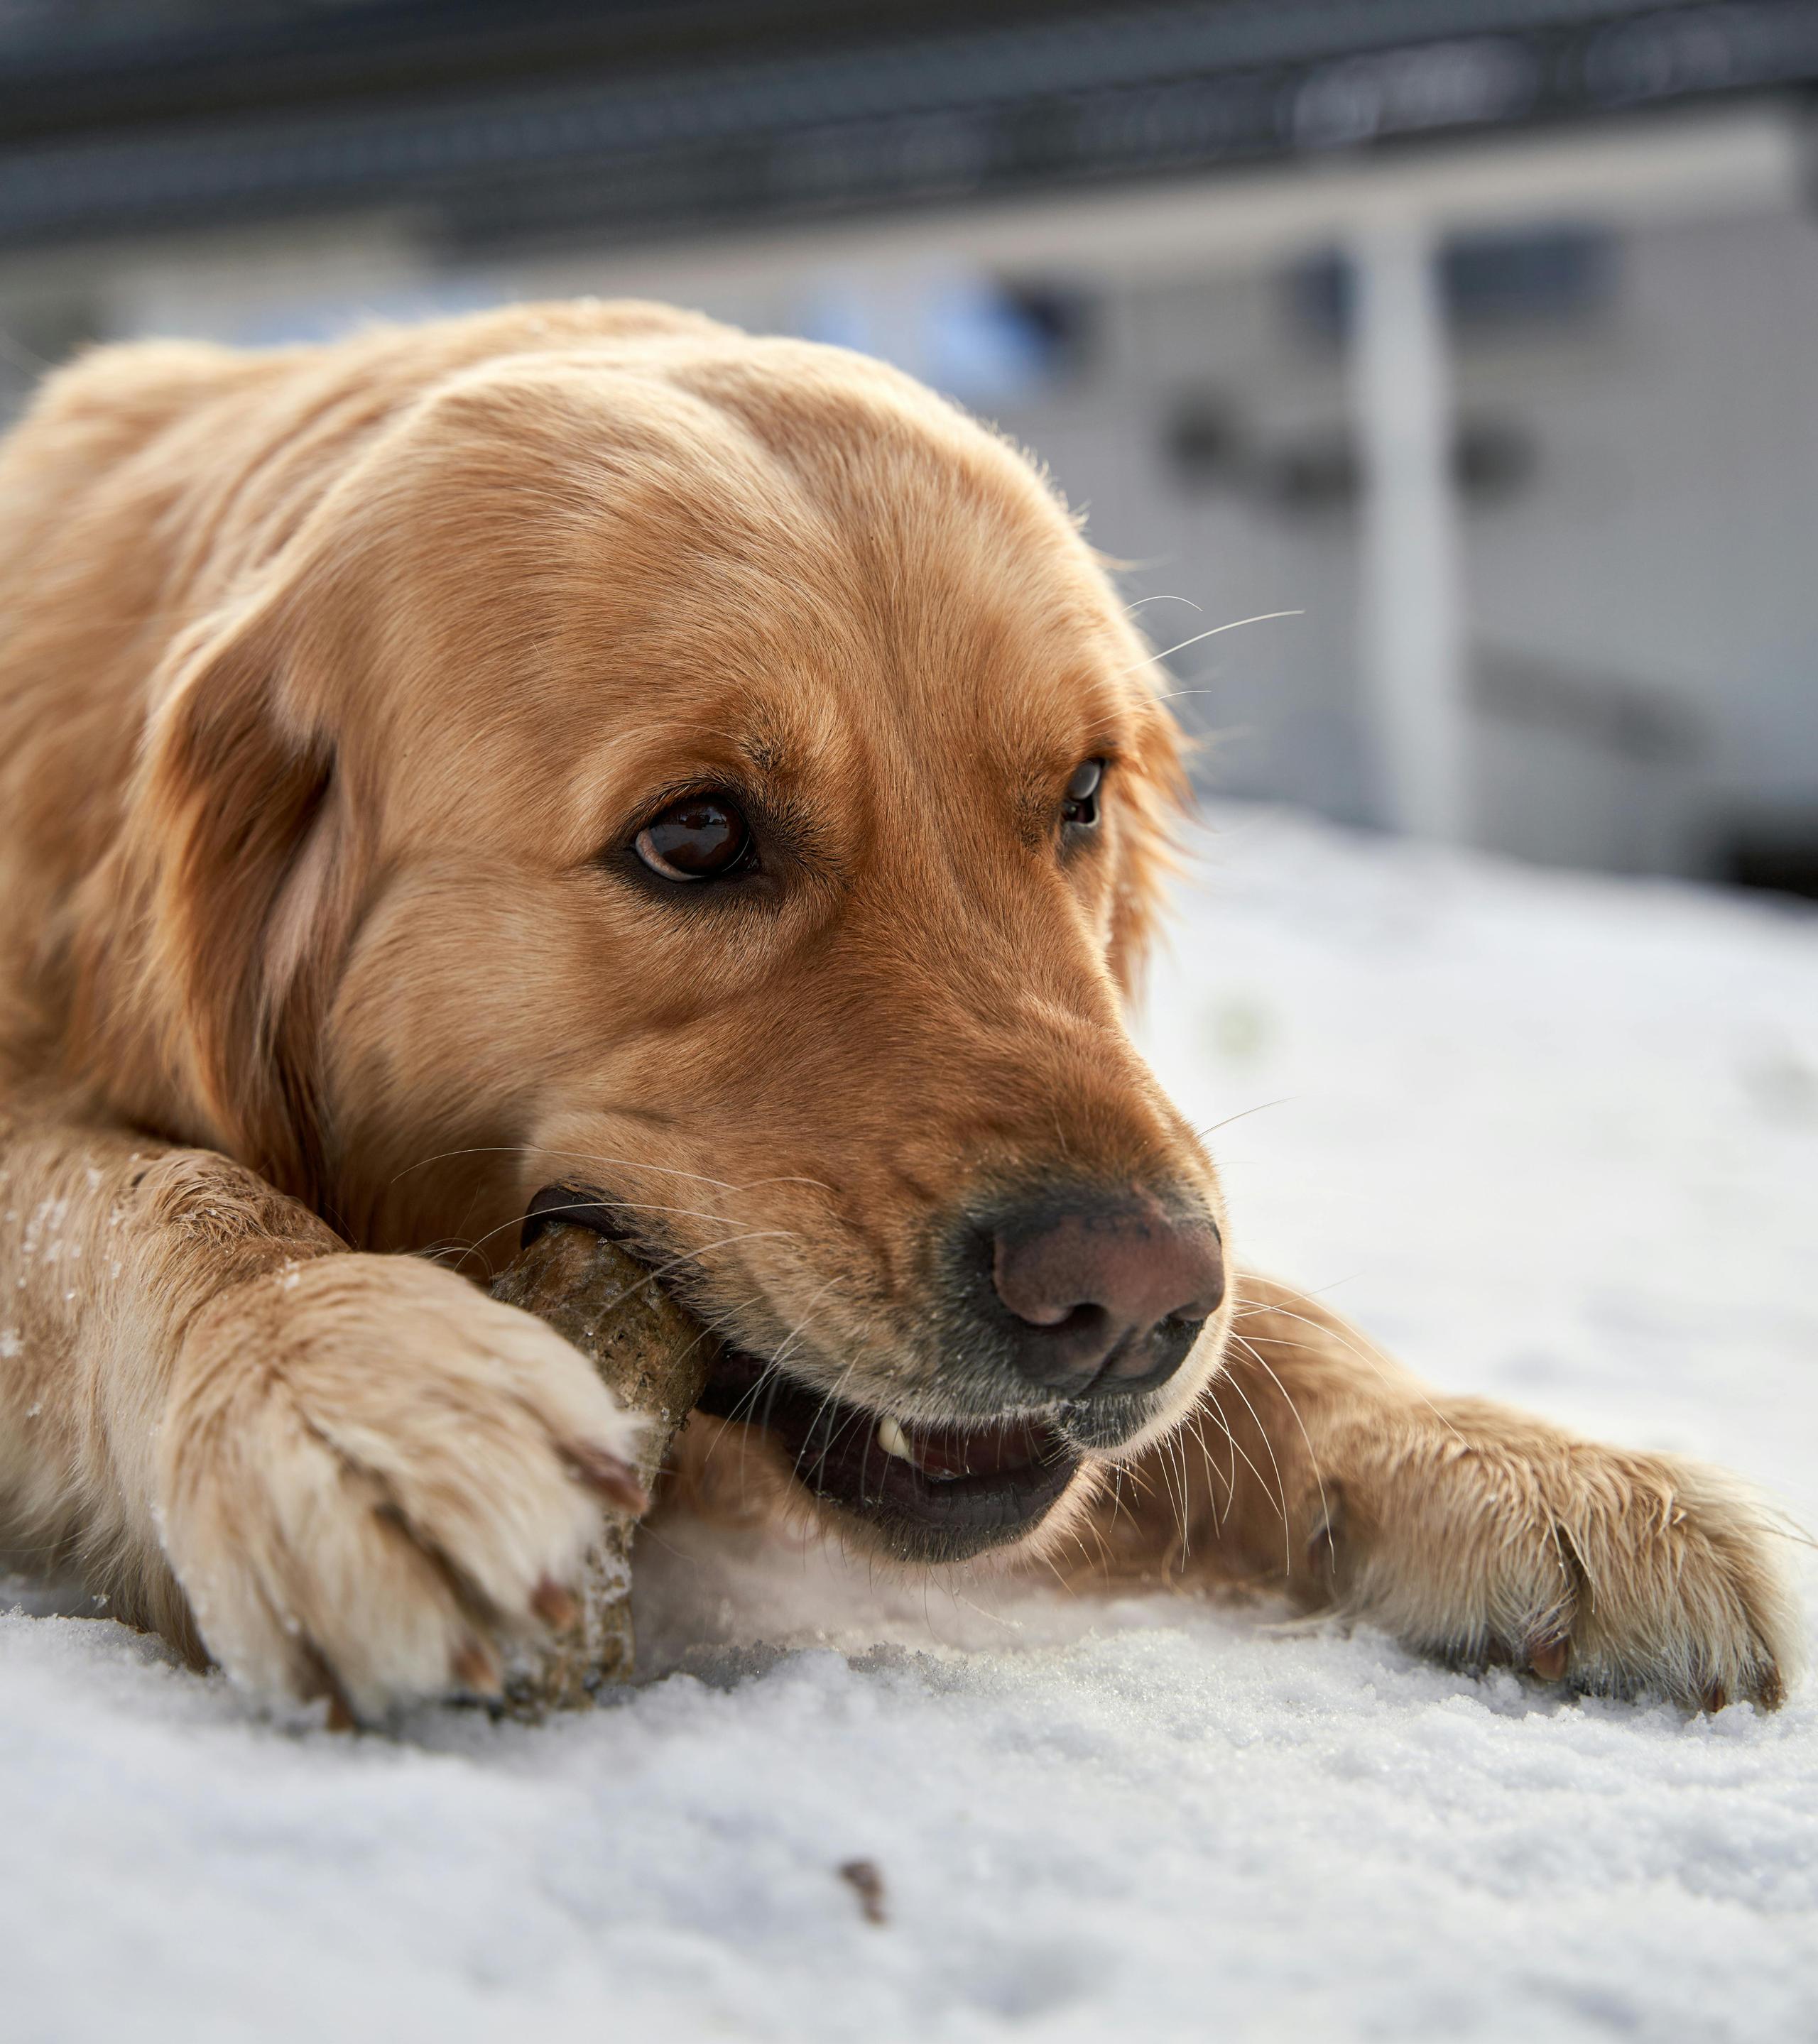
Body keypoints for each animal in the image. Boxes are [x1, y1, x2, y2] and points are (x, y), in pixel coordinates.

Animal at [0, 296, 1791, 1717]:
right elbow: (130, 1184)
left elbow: (1276, 1315)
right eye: (693, 832)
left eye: (1080, 793)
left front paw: (1510, 1463)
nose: (1132, 1296)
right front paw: (346, 1393)